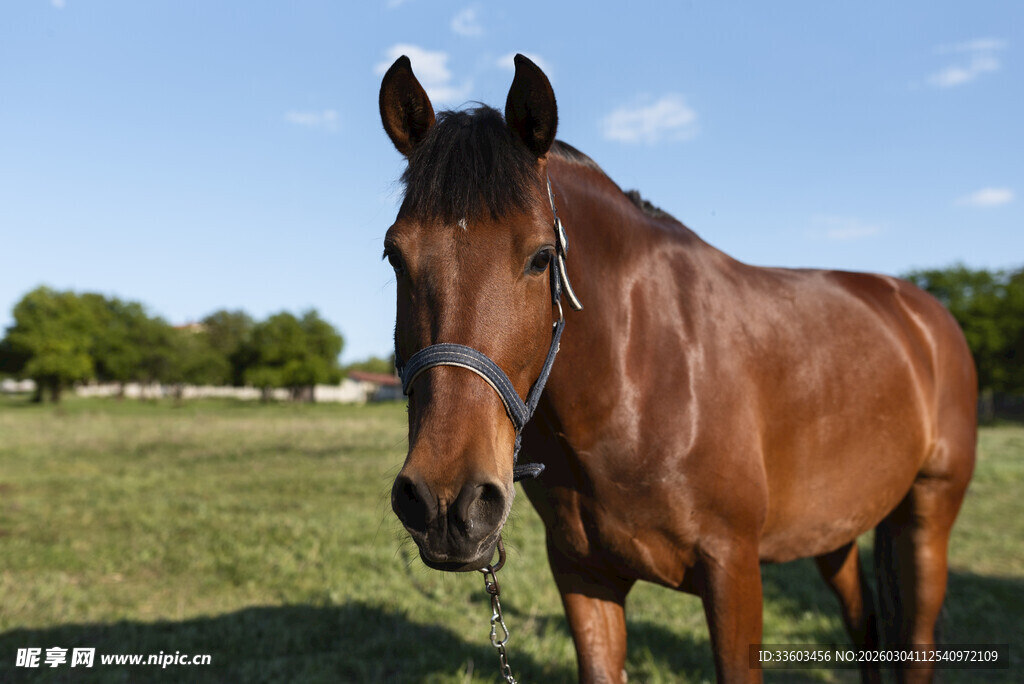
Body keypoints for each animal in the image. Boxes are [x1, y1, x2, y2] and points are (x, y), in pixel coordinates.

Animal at [378, 54, 977, 684]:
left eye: (542, 257)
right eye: (395, 255)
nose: (448, 502)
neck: (637, 379)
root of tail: (924, 312)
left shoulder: (733, 571)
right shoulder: (583, 575)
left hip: (927, 517)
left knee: (916, 639)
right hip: (832, 530)